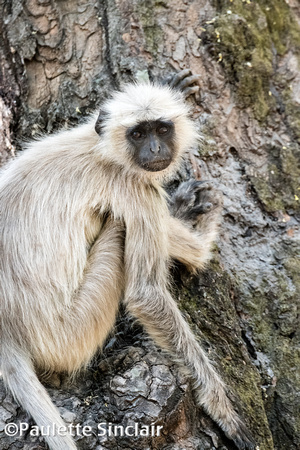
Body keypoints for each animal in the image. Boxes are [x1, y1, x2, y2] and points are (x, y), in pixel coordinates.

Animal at [0, 70, 255, 450]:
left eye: (161, 130)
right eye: (138, 134)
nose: (154, 149)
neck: (101, 151)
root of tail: (7, 331)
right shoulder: (134, 188)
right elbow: (147, 294)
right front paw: (220, 405)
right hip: (72, 332)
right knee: (118, 227)